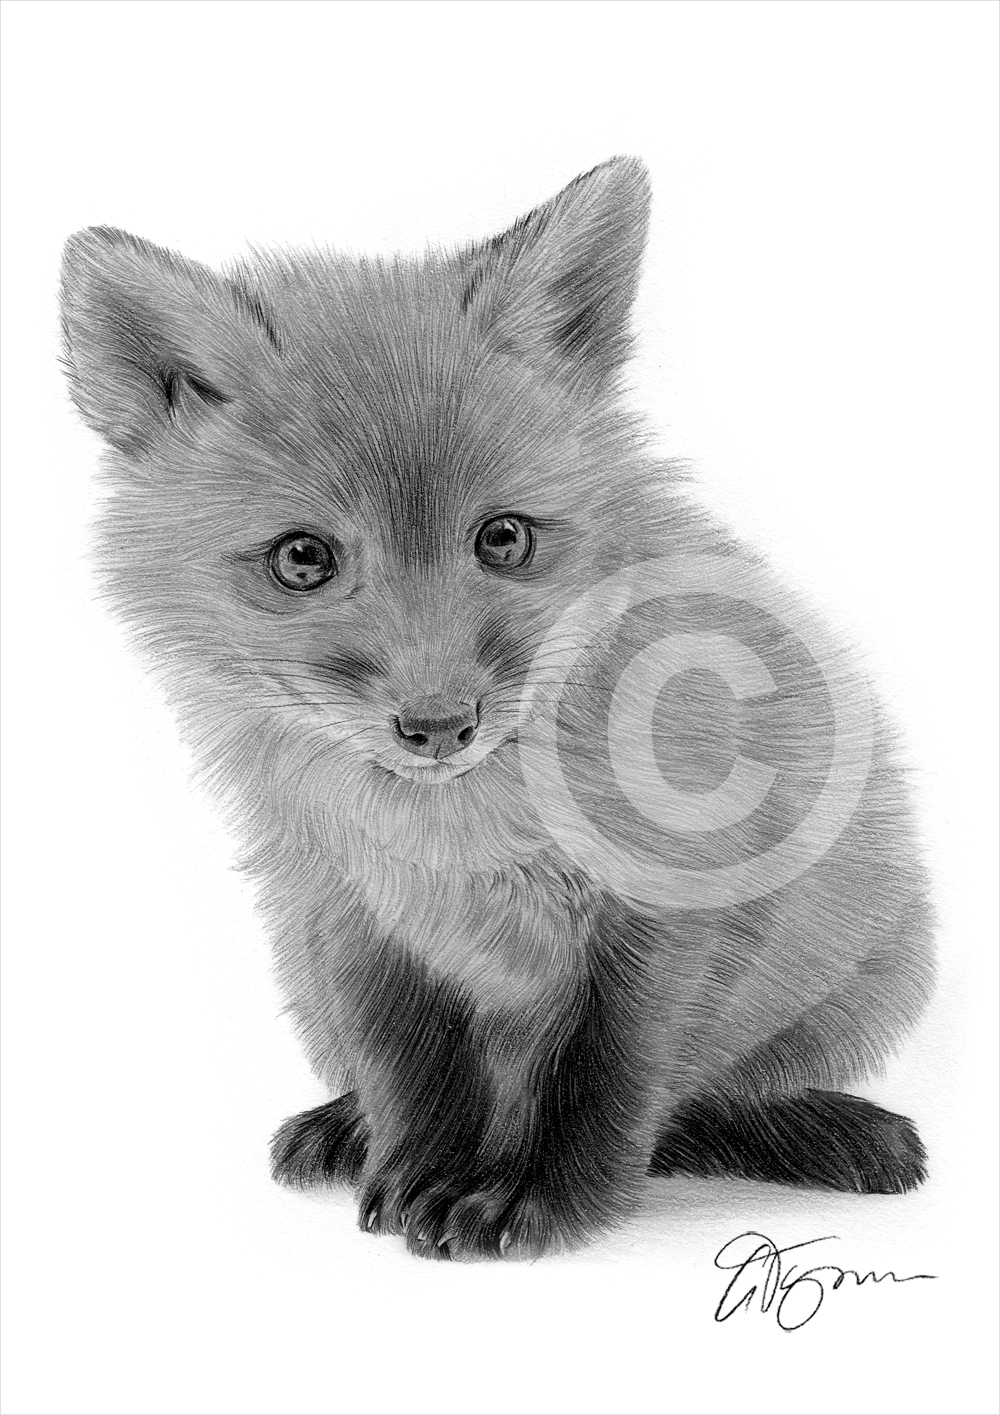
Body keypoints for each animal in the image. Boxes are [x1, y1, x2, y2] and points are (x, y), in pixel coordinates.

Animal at [59, 157, 935, 1261]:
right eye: (302, 558)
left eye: (505, 538)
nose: (439, 726)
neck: (456, 838)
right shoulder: (355, 916)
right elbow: (409, 1069)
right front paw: (415, 1172)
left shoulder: (670, 911)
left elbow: (605, 1081)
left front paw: (541, 1201)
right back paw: (346, 1126)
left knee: (704, 1104)